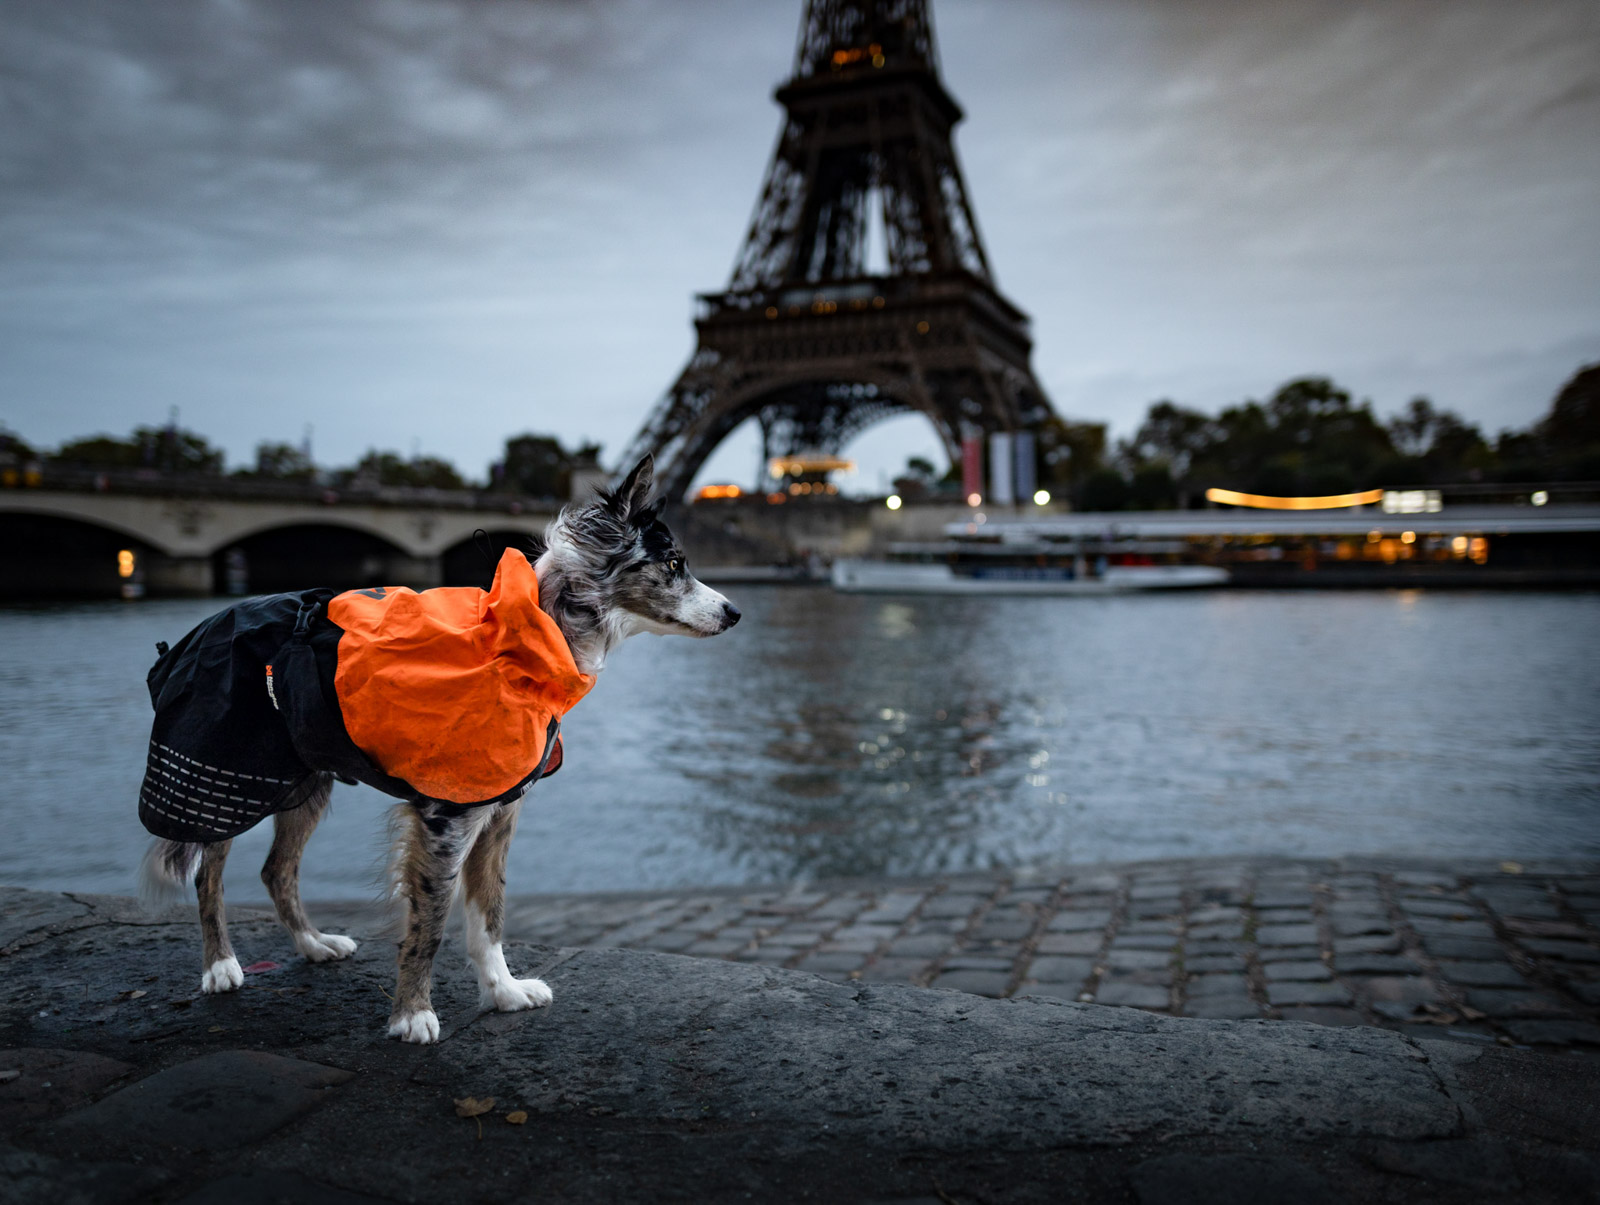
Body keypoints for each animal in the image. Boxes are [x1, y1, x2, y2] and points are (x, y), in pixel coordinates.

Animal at [137, 454, 736, 1036]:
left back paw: (313, 945)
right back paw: (220, 966)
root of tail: (207, 623)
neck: (529, 636)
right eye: (675, 564)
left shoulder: (499, 810)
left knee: (276, 869)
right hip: (228, 778)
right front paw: (412, 1015)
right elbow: (429, 923)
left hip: (303, 779)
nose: (734, 612)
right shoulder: (447, 816)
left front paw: (503, 993)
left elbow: (489, 912)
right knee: (208, 871)